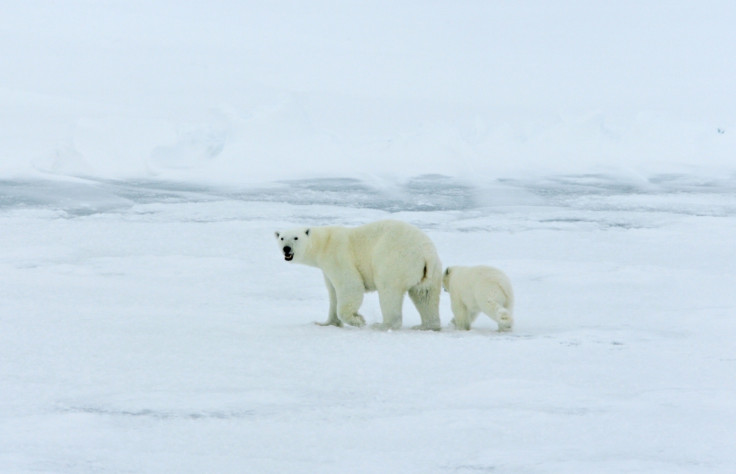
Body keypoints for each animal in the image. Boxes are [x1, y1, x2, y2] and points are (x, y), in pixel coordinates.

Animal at [274, 221, 440, 330]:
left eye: (295, 237)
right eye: (281, 238)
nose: (286, 249)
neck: (324, 243)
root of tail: (426, 254)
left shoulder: (337, 257)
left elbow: (350, 285)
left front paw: (358, 320)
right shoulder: (326, 269)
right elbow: (333, 292)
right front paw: (326, 323)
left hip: (394, 260)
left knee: (389, 290)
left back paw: (382, 325)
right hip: (429, 271)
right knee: (425, 295)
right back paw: (426, 325)